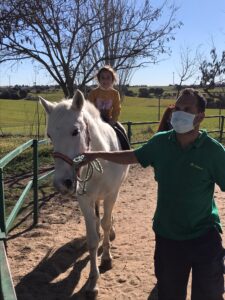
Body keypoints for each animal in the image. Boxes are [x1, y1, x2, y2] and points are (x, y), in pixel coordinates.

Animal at [39, 90, 129, 296]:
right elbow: (92, 239)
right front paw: (93, 279)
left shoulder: (111, 195)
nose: (61, 183)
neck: (101, 159)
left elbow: (106, 223)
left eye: (75, 131)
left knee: (107, 218)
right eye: (50, 135)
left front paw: (106, 257)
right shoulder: (85, 200)